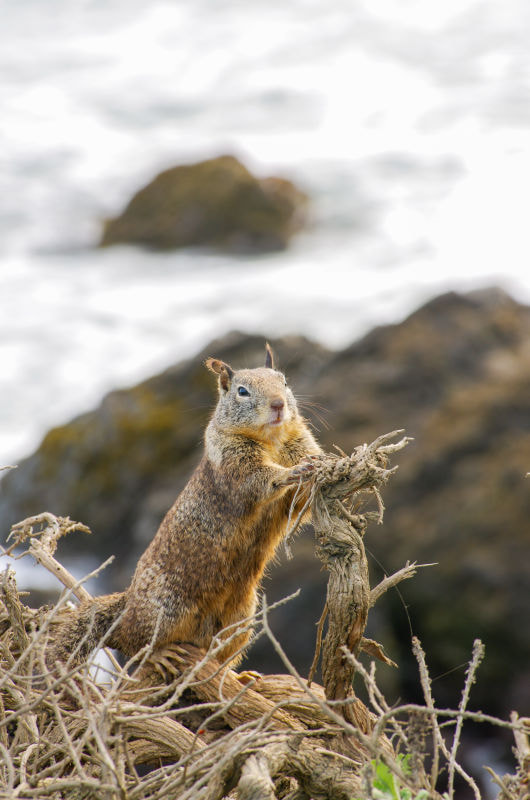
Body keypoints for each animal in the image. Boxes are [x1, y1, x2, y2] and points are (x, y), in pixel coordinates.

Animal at [49, 344, 320, 668]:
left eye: (285, 381)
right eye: (242, 391)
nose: (278, 404)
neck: (272, 440)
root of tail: (128, 603)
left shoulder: (299, 443)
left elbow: (301, 503)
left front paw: (323, 464)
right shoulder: (232, 461)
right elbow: (257, 479)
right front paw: (289, 473)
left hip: (240, 619)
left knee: (217, 653)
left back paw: (239, 674)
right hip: (166, 610)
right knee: (132, 642)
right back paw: (161, 653)